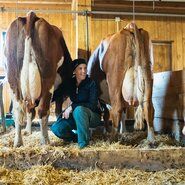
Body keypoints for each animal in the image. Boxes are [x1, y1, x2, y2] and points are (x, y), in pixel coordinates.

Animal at [3, 11, 72, 147]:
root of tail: (30, 15)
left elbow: (29, 111)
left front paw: (28, 131)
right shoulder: (60, 93)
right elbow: (57, 112)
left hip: (12, 78)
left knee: (18, 110)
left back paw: (18, 141)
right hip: (47, 79)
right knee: (42, 110)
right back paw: (45, 140)